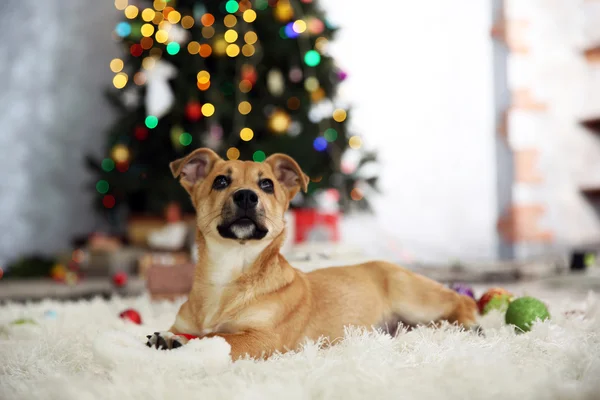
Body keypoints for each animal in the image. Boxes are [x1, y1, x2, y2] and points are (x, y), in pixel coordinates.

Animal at [145, 148, 478, 360]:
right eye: (221, 181)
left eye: (266, 184)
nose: (247, 196)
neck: (230, 272)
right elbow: (191, 332)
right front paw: (169, 338)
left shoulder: (262, 338)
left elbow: (215, 337)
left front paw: (181, 342)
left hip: (416, 299)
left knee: (462, 301)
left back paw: (467, 325)